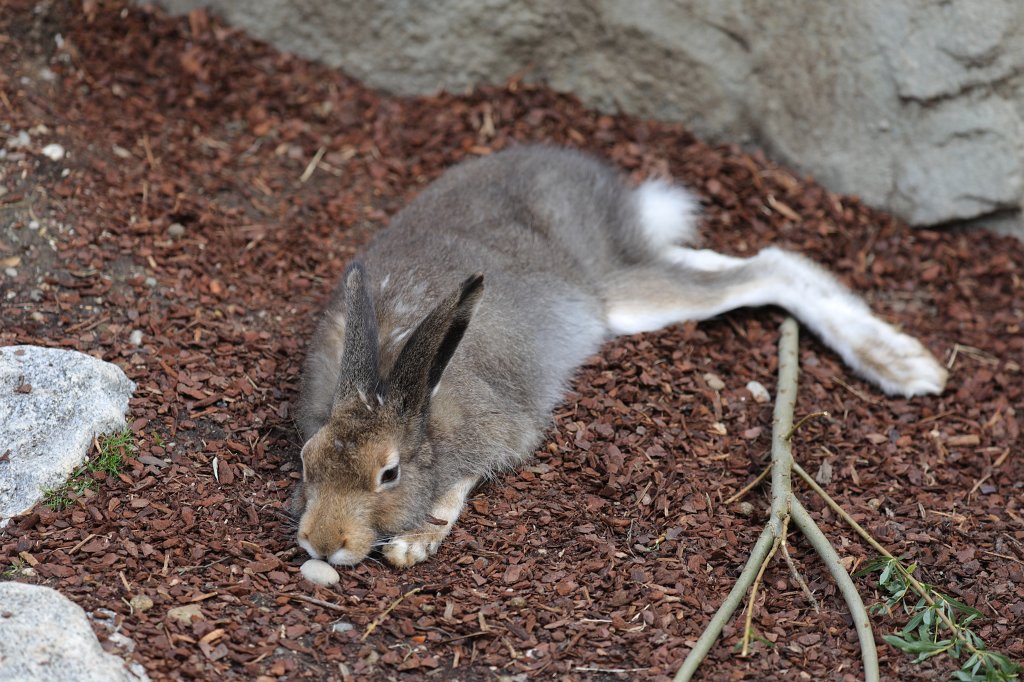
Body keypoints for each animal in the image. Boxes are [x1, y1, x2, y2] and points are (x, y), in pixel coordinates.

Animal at [292, 145, 947, 568]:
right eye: (308, 459)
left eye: (389, 474)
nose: (321, 546)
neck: (404, 382)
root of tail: (615, 194)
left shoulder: (504, 428)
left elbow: (462, 480)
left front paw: (414, 543)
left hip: (618, 296)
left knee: (772, 269)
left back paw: (902, 366)